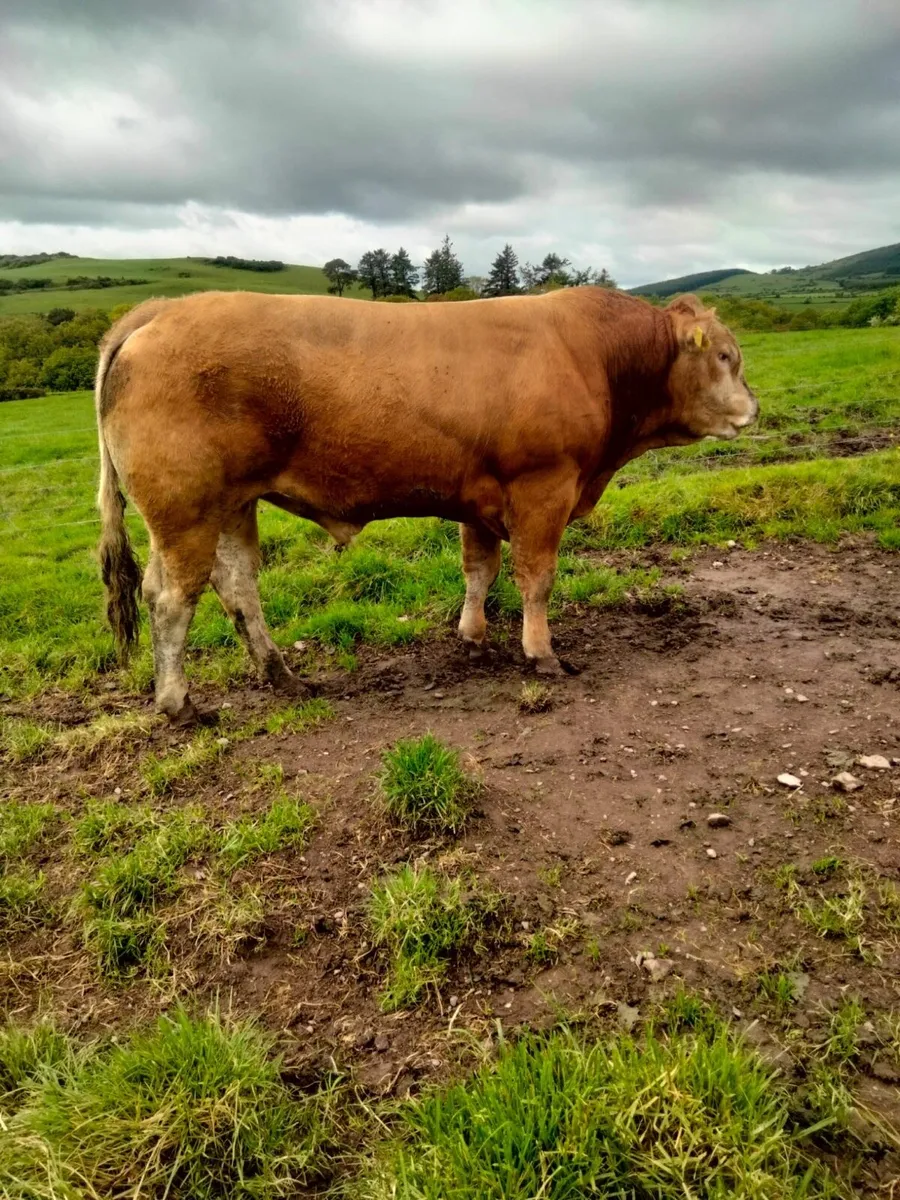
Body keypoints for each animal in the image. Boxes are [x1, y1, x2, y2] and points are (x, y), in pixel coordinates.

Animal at [95, 286, 757, 724]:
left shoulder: (481, 499)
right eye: (726, 356)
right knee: (171, 599)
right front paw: (541, 653)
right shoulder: (543, 488)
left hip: (233, 502)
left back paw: (283, 676)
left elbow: (480, 570)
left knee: (237, 587)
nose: (753, 408)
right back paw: (179, 703)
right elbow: (536, 577)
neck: (594, 355)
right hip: (186, 510)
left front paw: (474, 637)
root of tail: (164, 307)